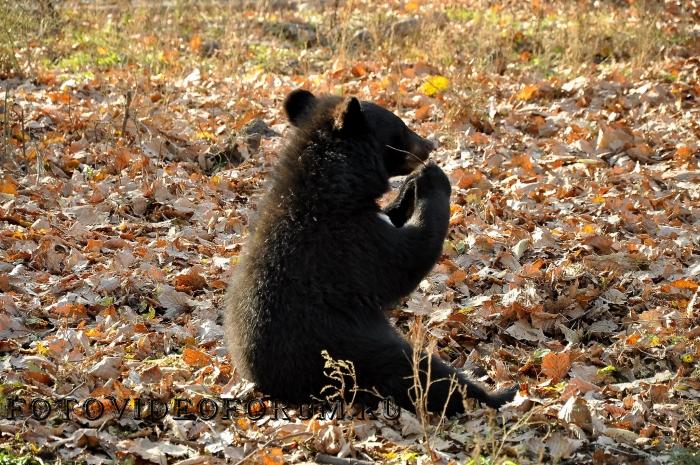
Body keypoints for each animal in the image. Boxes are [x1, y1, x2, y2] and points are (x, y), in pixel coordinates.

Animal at [226, 89, 520, 416]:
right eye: (402, 128)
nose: (429, 145)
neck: (332, 185)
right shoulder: (350, 241)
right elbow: (407, 257)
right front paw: (431, 177)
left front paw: (410, 186)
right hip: (358, 353)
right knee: (427, 378)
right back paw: (501, 394)